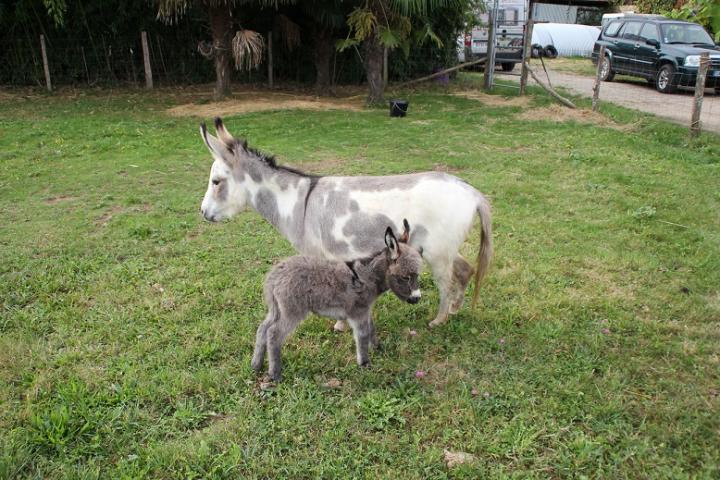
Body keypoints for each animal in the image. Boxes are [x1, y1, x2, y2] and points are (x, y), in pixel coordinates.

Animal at [252, 221, 422, 382]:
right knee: (273, 333)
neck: (368, 276)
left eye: (417, 276)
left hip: (276, 309)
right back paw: (275, 374)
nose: (417, 298)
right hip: (292, 311)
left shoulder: (366, 309)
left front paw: (377, 347)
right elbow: (362, 335)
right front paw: (365, 363)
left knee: (262, 329)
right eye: (405, 277)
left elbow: (371, 328)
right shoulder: (358, 312)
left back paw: (256, 365)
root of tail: (274, 276)